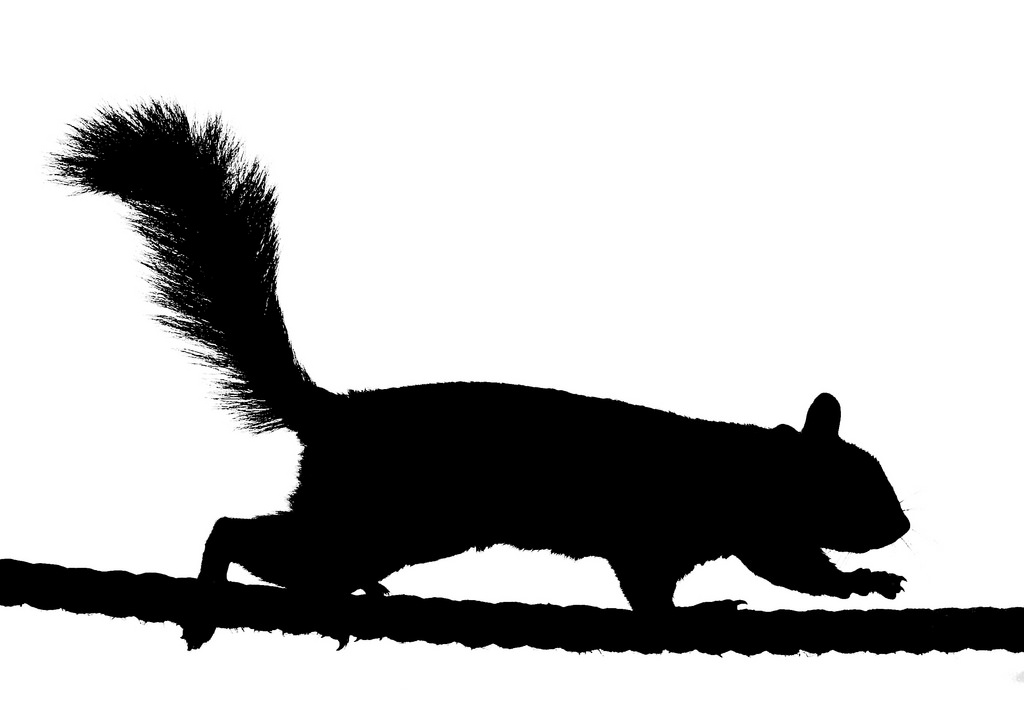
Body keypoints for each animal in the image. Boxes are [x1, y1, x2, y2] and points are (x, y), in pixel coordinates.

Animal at [53, 101, 910, 649]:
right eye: (859, 480)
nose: (902, 526)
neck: (755, 463)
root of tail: (333, 412)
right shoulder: (682, 525)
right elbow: (683, 590)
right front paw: (750, 604)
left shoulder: (729, 530)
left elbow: (763, 573)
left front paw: (855, 584)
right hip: (376, 517)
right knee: (240, 530)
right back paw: (208, 596)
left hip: (371, 532)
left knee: (302, 564)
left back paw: (340, 599)